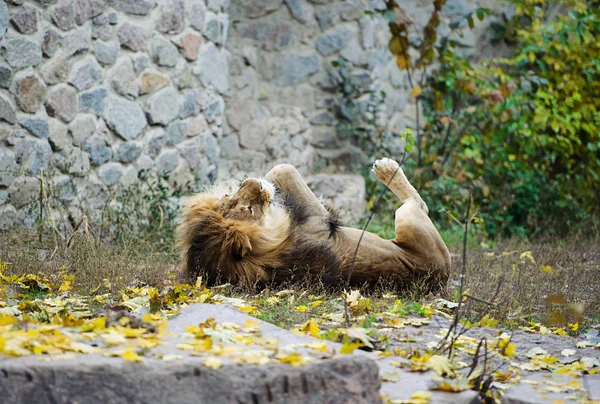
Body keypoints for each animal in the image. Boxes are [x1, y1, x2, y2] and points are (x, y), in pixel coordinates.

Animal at [177, 156, 450, 288]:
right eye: (250, 210)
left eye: (228, 196)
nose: (247, 181)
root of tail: (442, 276)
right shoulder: (317, 220)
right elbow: (283, 167)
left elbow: (275, 172)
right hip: (408, 220)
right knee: (419, 204)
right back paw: (387, 168)